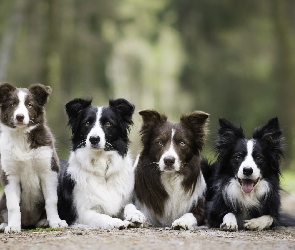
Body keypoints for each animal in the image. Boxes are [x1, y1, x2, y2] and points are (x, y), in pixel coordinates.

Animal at [0, 83, 67, 233]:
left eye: (29, 105)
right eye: (13, 104)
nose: (20, 116)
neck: (21, 136)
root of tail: (28, 223)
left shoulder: (48, 171)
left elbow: (51, 201)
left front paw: (56, 223)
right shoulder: (9, 175)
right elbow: (13, 205)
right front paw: (13, 226)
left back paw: (44, 222)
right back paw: (4, 224)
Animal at [58, 97, 147, 229]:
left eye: (108, 123)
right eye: (87, 123)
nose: (94, 139)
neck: (102, 169)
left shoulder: (123, 200)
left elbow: (129, 205)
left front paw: (136, 215)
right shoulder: (82, 213)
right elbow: (100, 217)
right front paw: (116, 222)